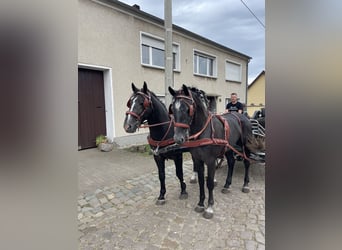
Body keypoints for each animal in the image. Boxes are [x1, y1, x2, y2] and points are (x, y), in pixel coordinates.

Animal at [168, 84, 256, 219]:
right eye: (172, 109)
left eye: (187, 108)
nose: (178, 138)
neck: (204, 130)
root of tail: (243, 117)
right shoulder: (198, 160)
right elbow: (201, 181)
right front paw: (200, 203)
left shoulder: (210, 161)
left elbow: (209, 182)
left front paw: (209, 207)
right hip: (229, 148)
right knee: (231, 162)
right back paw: (227, 185)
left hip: (245, 146)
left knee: (247, 162)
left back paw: (245, 184)